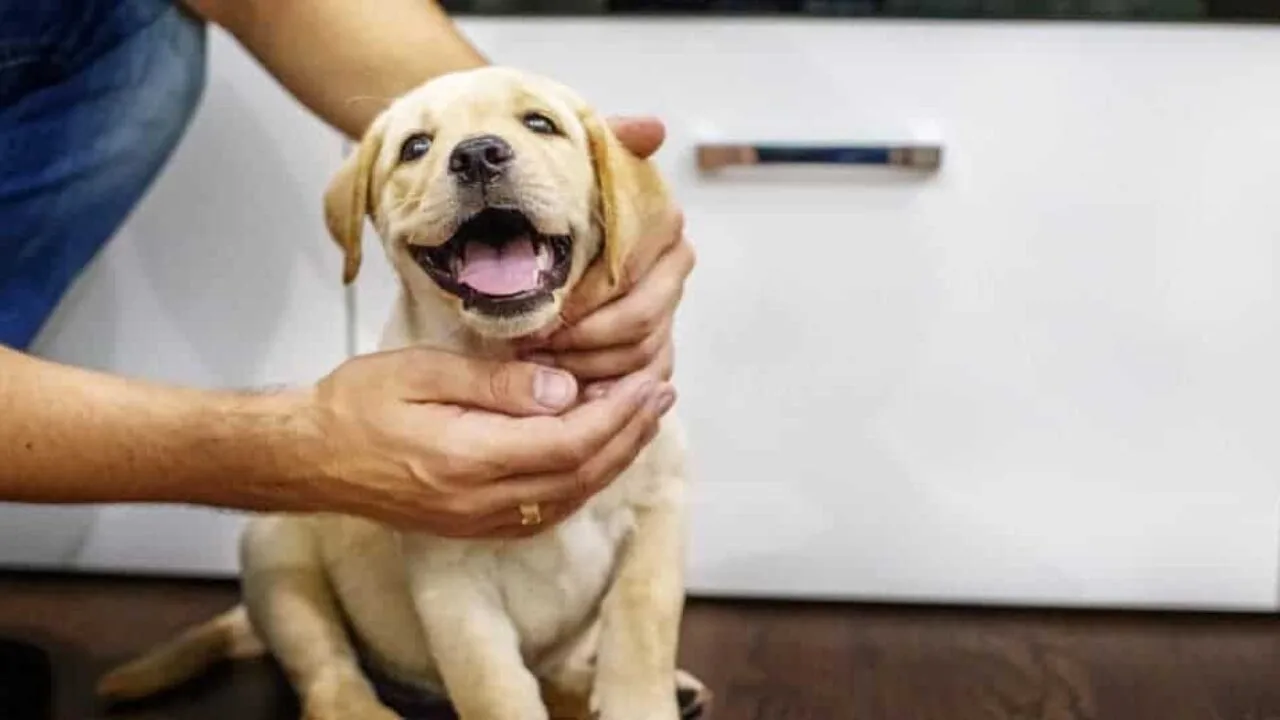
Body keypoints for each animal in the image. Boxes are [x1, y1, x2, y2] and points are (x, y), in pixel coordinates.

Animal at [93, 67, 706, 717]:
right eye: (416, 146)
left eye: (540, 123)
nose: (478, 155)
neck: (507, 349)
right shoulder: (452, 575)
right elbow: (494, 688)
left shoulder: (659, 513)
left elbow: (642, 628)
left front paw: (644, 697)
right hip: (278, 553)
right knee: (328, 673)